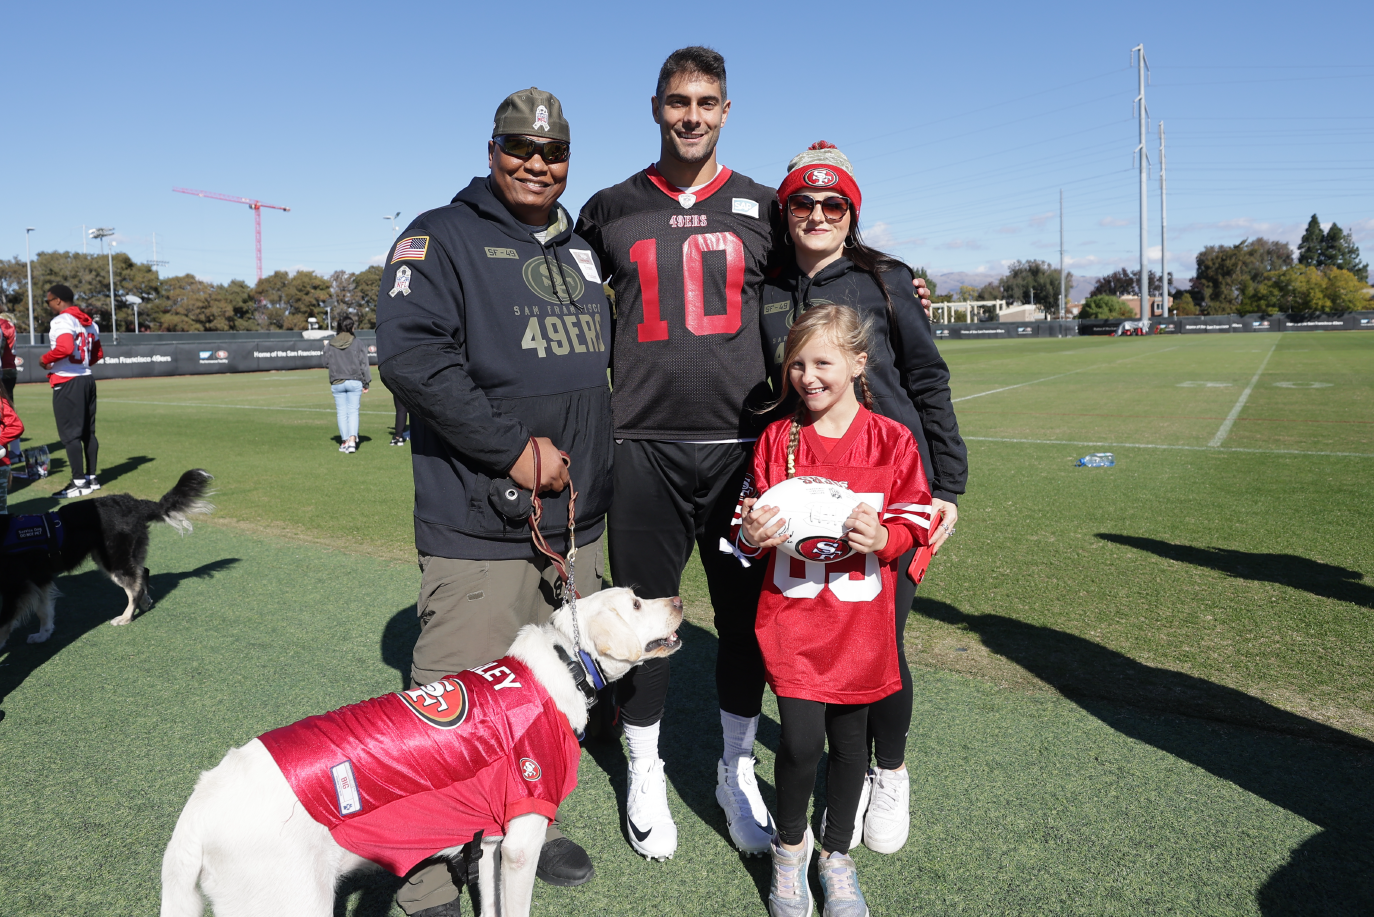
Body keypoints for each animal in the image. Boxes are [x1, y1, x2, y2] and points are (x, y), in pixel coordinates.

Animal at [160, 588, 681, 917]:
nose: (678, 600)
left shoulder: (492, 843)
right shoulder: (521, 843)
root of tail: (196, 810)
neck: (566, 661)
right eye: (636, 602)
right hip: (290, 904)